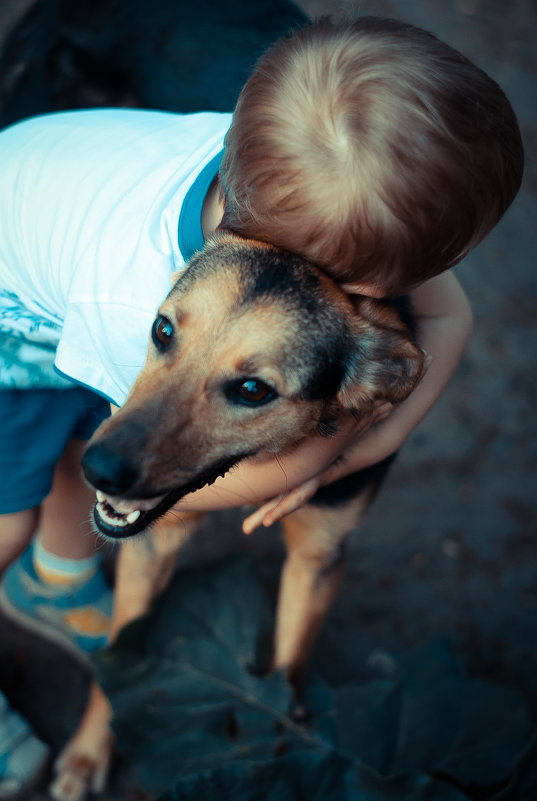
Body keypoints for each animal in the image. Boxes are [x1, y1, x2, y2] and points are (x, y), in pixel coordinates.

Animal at [48, 231, 426, 800]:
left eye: (253, 390)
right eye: (162, 331)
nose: (98, 469)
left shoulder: (318, 556)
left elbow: (290, 663)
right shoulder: (155, 542)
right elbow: (120, 648)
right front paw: (89, 751)